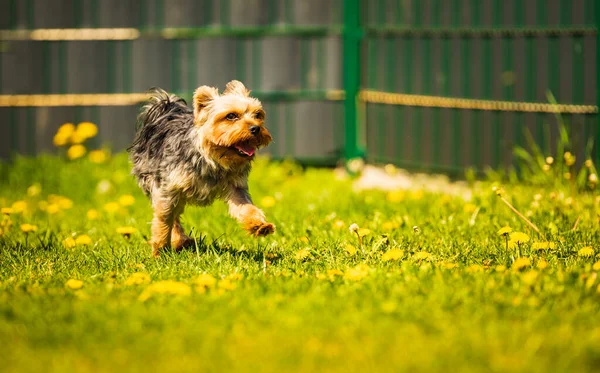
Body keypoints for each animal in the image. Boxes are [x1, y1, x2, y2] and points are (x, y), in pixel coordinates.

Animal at [130, 80, 276, 256]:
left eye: (258, 115)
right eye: (231, 116)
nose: (256, 128)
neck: (212, 159)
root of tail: (165, 109)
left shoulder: (236, 187)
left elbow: (246, 207)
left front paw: (258, 225)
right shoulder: (167, 188)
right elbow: (164, 218)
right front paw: (160, 249)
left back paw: (182, 241)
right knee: (172, 216)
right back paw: (179, 240)